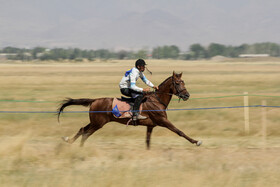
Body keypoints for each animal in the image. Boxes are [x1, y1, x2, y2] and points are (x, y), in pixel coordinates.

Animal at [57, 71, 201, 149]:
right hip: (98, 123)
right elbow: (179, 131)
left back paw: (72, 143)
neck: (157, 100)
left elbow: (147, 141)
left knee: (83, 130)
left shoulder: (151, 126)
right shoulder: (163, 121)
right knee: (86, 133)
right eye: (177, 83)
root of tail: (94, 100)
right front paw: (196, 141)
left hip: (95, 122)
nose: (187, 95)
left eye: (183, 82)